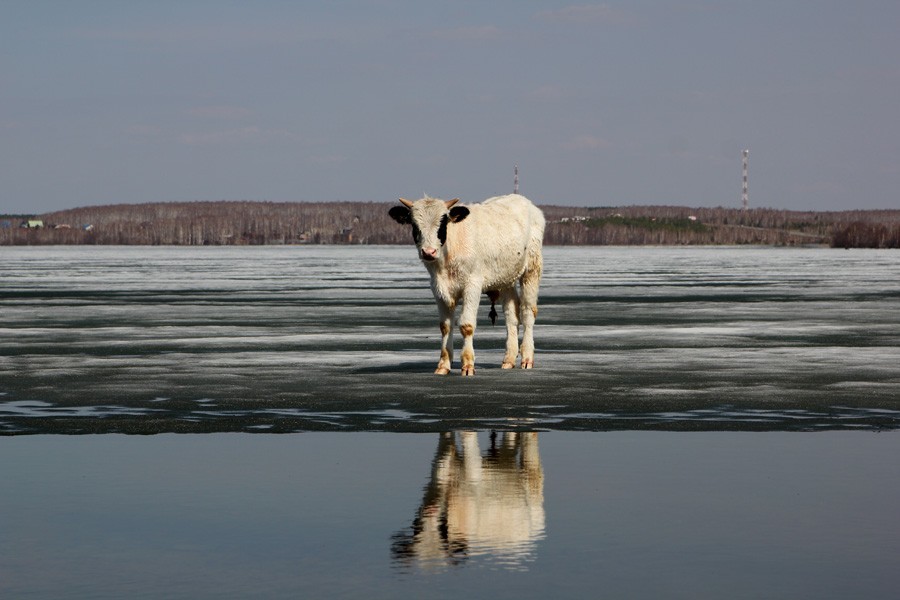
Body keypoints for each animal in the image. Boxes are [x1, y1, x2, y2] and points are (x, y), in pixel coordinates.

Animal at [384, 196, 540, 376]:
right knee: (511, 316)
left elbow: (466, 325)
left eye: (443, 222)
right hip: (506, 279)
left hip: (531, 270)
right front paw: (443, 365)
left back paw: (527, 357)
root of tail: (522, 200)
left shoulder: (472, 286)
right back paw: (508, 359)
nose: (428, 252)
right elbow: (445, 326)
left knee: (527, 312)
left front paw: (468, 364)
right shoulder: (438, 289)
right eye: (414, 224)